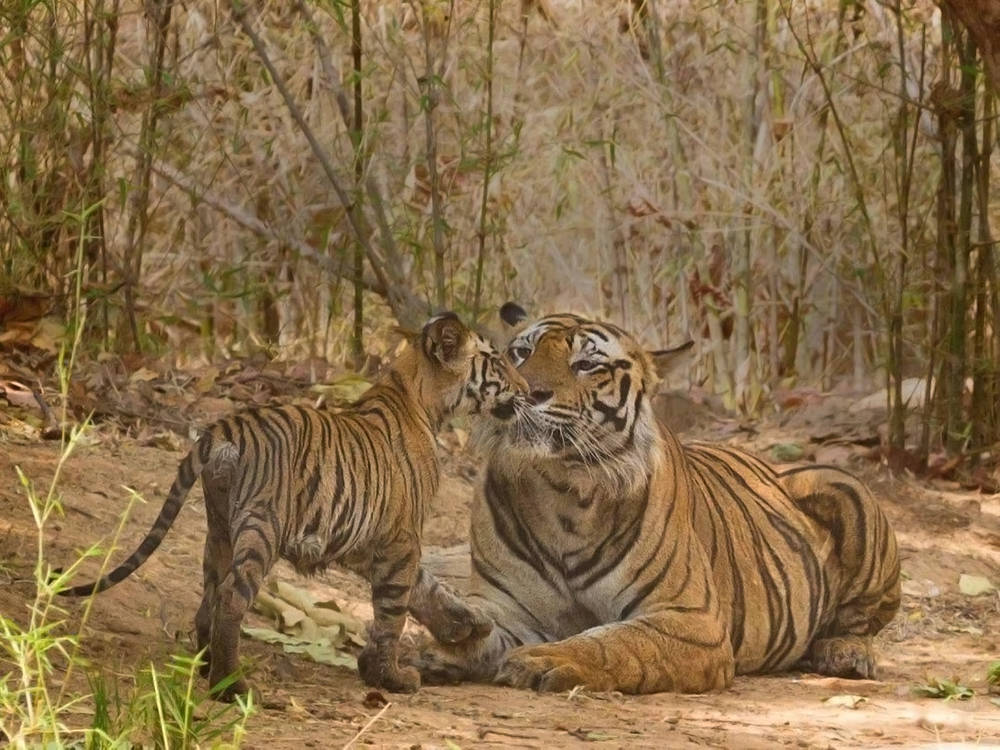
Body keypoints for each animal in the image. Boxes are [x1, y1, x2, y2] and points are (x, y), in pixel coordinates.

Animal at [64, 314, 524, 704]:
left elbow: (425, 588)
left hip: (220, 528)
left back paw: (207, 666)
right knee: (230, 597)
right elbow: (394, 607)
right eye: (497, 360)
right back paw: (232, 686)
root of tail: (225, 427)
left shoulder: (364, 539)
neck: (416, 392)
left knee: (209, 595)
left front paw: (466, 624)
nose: (527, 389)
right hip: (262, 526)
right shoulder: (400, 537)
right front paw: (390, 677)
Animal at [414, 304, 900, 692]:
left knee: (863, 620)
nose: (525, 393)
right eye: (521, 354)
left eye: (586, 364)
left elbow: (615, 641)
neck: (562, 489)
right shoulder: (508, 608)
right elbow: (478, 629)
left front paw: (548, 658)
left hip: (845, 487)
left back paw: (846, 653)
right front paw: (432, 648)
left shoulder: (691, 621)